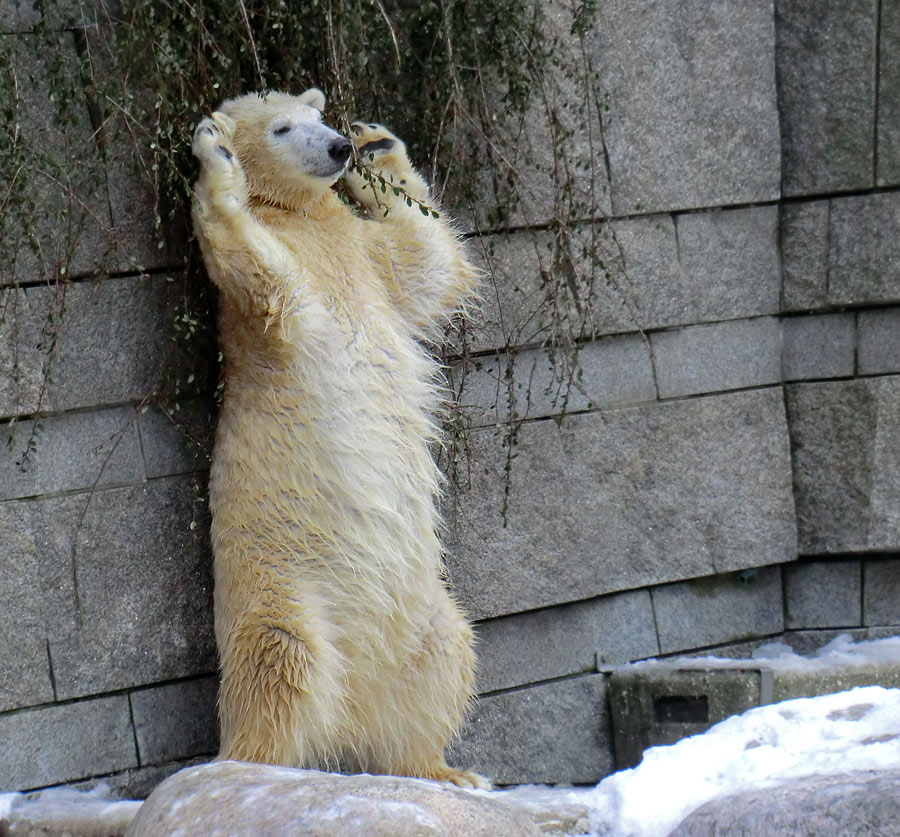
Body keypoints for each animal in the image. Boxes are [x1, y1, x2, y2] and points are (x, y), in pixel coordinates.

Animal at [190, 88, 486, 788]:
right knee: (280, 664)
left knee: (447, 657)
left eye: (320, 116)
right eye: (281, 128)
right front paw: (215, 158)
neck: (302, 217)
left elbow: (427, 261)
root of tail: (350, 719)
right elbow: (262, 275)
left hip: (423, 614)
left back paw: (443, 770)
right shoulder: (269, 315)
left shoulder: (364, 262)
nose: (337, 146)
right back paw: (254, 768)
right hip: (280, 593)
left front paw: (380, 147)